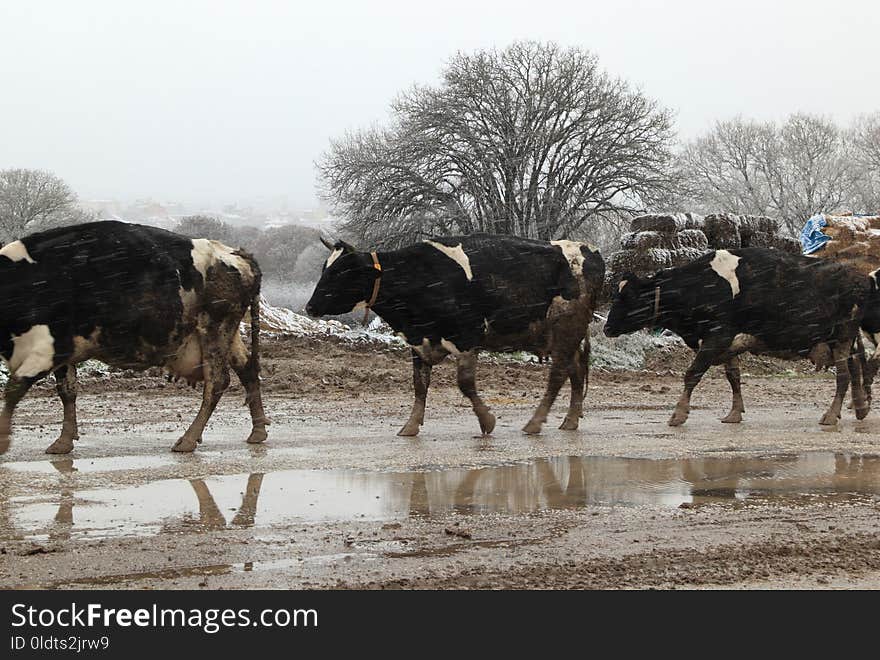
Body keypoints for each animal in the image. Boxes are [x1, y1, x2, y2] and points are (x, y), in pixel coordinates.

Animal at [0, 222, 268, 454]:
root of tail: (235, 254)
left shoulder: (50, 349)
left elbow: (14, 388)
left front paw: (3, 439)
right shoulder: (64, 354)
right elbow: (66, 391)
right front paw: (64, 441)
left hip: (215, 328)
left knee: (217, 382)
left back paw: (189, 439)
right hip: (227, 335)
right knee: (247, 369)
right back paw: (258, 431)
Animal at [304, 235, 604, 436]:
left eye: (342, 272)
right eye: (325, 269)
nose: (310, 307)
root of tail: (588, 250)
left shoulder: (466, 337)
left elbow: (465, 384)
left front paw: (487, 421)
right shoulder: (419, 341)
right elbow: (419, 385)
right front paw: (410, 426)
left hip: (567, 327)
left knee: (558, 375)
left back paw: (534, 423)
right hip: (560, 335)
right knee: (575, 370)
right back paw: (570, 420)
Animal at [604, 248, 872, 428]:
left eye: (627, 297)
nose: (607, 327)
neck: (702, 285)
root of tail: (860, 277)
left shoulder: (717, 336)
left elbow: (692, 374)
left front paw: (678, 414)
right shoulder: (727, 343)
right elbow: (733, 377)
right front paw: (734, 413)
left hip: (842, 337)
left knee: (844, 376)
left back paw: (831, 415)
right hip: (840, 340)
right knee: (855, 367)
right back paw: (860, 406)